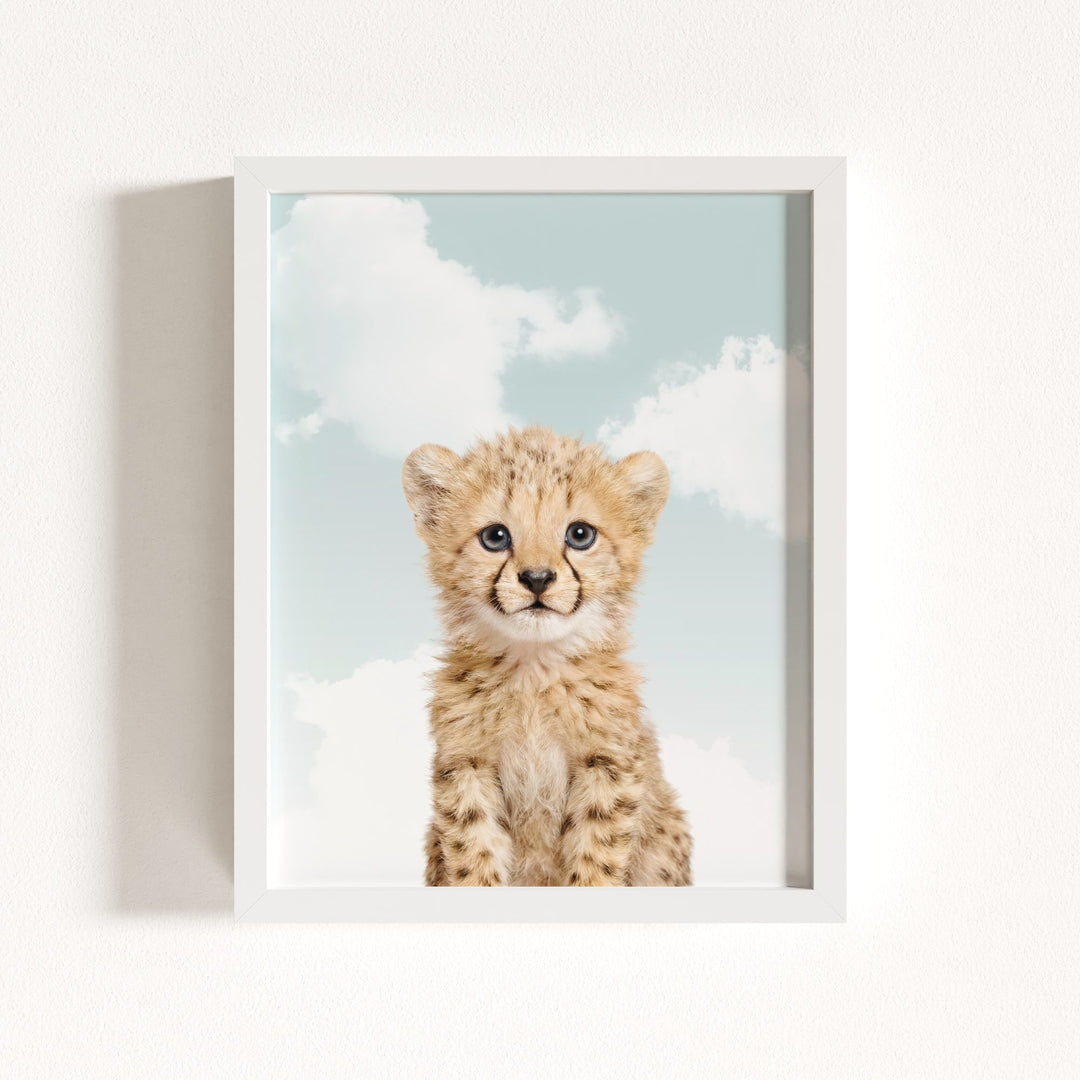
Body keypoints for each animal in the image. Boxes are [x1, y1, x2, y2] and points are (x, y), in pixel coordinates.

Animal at [402, 425, 692, 886]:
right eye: (495, 537)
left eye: (580, 535)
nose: (537, 578)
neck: (533, 670)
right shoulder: (467, 765)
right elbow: (473, 852)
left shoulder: (607, 766)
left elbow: (596, 857)